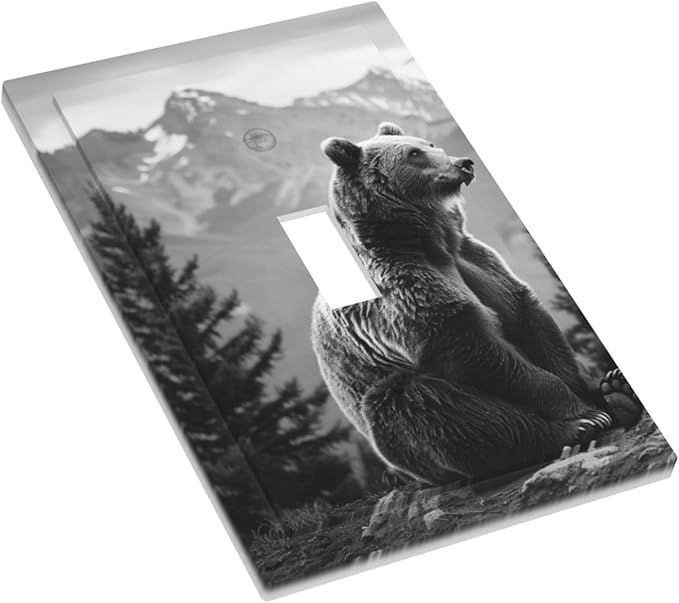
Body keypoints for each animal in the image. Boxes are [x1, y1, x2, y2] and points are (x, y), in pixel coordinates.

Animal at [310, 121, 642, 485]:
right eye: (413, 153)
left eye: (429, 143)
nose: (463, 163)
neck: (431, 239)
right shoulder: (405, 289)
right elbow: (475, 348)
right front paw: (584, 413)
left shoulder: (476, 261)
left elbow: (529, 318)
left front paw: (596, 393)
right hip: (401, 440)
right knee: (420, 404)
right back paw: (570, 431)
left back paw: (618, 391)